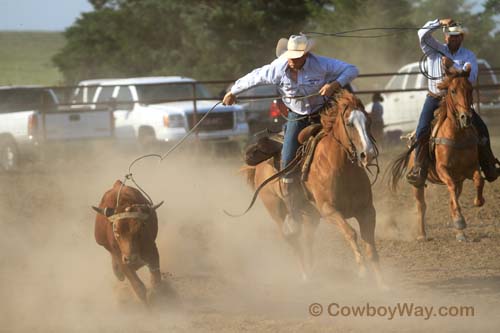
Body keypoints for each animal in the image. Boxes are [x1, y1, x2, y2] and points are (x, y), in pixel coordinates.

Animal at [240, 89, 384, 286]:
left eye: (368, 121)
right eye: (349, 123)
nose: (367, 154)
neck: (340, 167)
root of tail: (259, 166)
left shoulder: (367, 210)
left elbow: (371, 246)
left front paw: (384, 285)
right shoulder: (329, 210)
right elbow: (351, 233)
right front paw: (362, 271)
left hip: (310, 215)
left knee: (307, 240)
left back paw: (312, 271)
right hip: (277, 210)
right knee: (291, 239)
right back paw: (305, 275)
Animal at [388, 64, 482, 241]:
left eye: (470, 89)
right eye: (453, 90)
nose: (466, 118)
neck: (457, 136)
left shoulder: (470, 168)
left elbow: (478, 181)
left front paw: (477, 202)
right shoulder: (442, 169)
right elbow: (450, 186)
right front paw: (460, 220)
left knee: (453, 199)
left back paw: (460, 233)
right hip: (417, 183)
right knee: (421, 206)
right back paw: (422, 234)